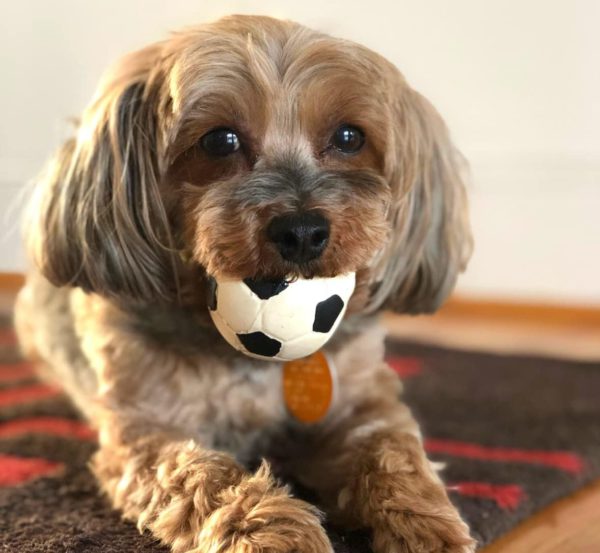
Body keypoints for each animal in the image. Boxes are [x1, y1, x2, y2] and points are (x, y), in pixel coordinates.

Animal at [15, 14, 474, 552]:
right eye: (220, 141)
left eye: (349, 137)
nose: (302, 231)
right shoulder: (144, 429)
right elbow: (200, 475)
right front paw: (275, 527)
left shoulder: (361, 400)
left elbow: (391, 448)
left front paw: (426, 523)